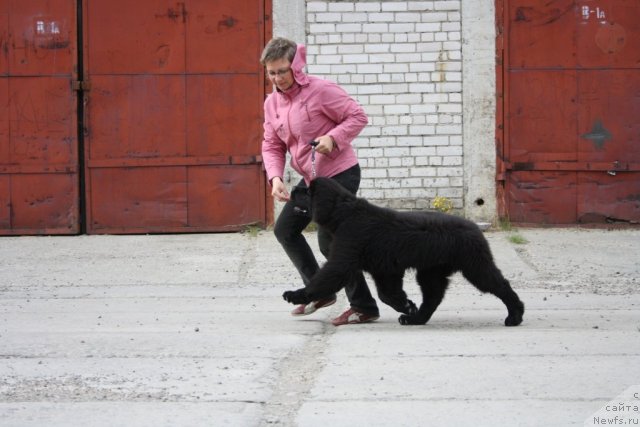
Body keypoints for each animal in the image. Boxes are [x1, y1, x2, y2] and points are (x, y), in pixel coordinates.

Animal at [282, 177, 524, 328]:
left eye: (307, 191)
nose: (292, 189)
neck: (344, 213)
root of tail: (476, 228)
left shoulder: (346, 259)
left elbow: (327, 277)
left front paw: (296, 295)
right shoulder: (385, 270)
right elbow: (387, 293)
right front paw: (407, 305)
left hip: (475, 266)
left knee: (500, 285)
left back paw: (515, 315)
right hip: (431, 272)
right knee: (433, 296)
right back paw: (416, 318)